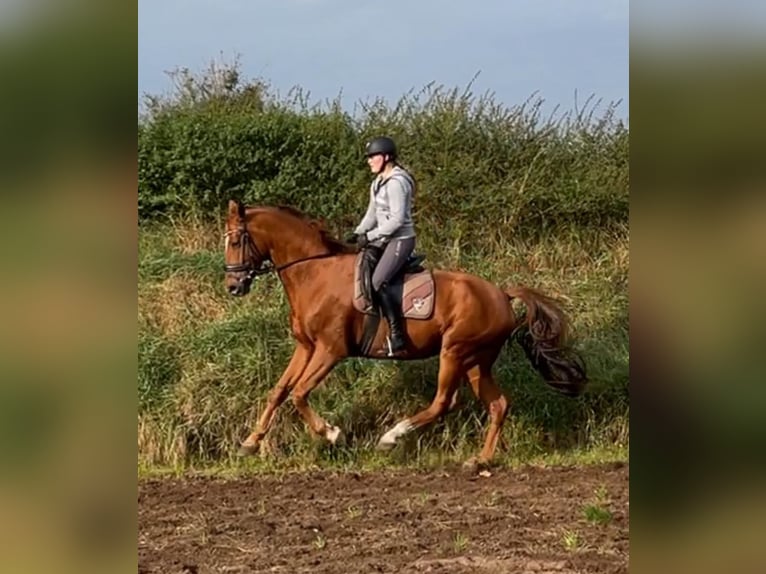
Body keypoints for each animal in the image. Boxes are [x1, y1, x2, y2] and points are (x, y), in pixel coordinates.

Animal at [222, 199, 588, 468]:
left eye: (237, 240)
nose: (233, 286)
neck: (315, 272)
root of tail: (502, 294)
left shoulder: (330, 350)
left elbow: (299, 393)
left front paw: (333, 434)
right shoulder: (306, 347)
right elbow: (279, 391)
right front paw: (250, 442)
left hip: (455, 352)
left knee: (443, 401)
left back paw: (391, 437)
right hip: (477, 361)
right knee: (498, 404)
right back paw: (480, 460)